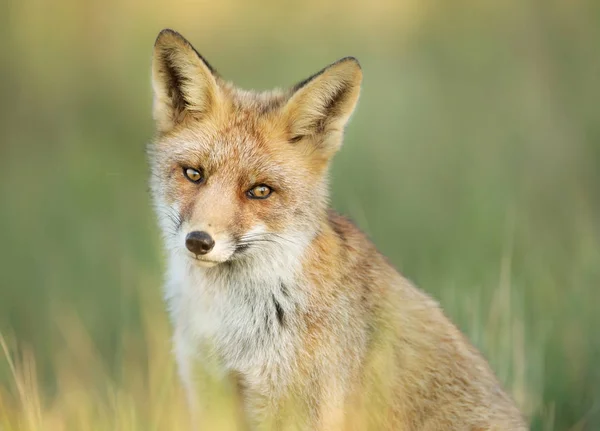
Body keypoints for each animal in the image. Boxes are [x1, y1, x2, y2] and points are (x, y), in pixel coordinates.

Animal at [148, 28, 528, 430]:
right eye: (194, 174)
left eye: (260, 191)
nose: (198, 241)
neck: (228, 321)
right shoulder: (208, 393)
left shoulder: (297, 410)